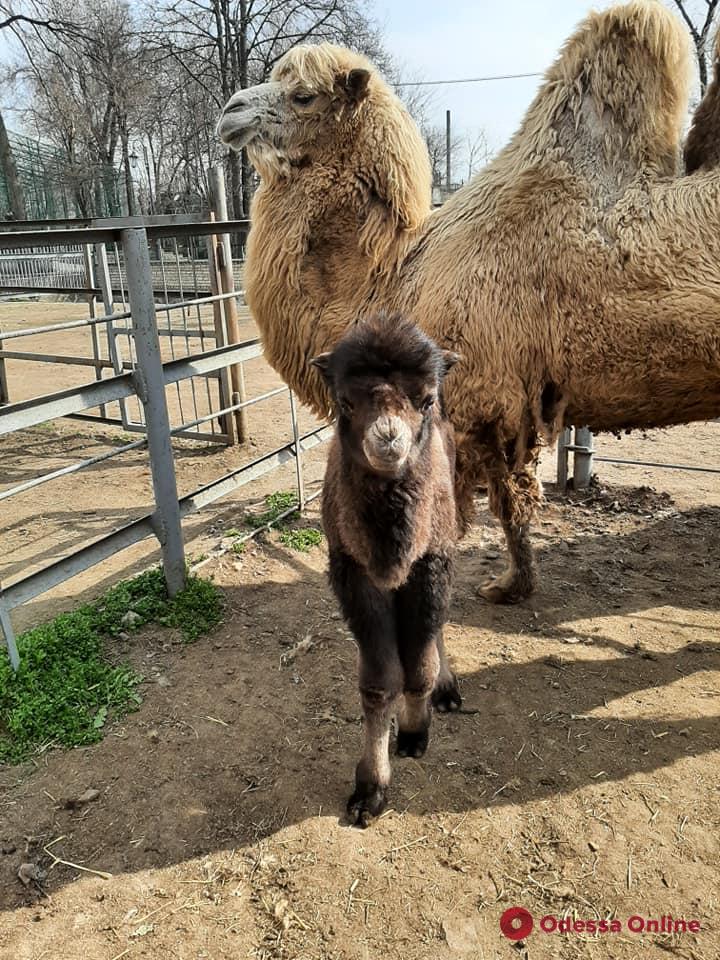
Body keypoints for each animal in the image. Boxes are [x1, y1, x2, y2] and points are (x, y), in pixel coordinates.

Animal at [314, 314, 462, 824]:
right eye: (344, 401)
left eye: (427, 398)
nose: (388, 437)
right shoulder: (354, 573)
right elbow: (380, 683)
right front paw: (369, 791)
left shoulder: (430, 563)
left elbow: (417, 665)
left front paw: (416, 734)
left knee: (437, 627)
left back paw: (448, 689)